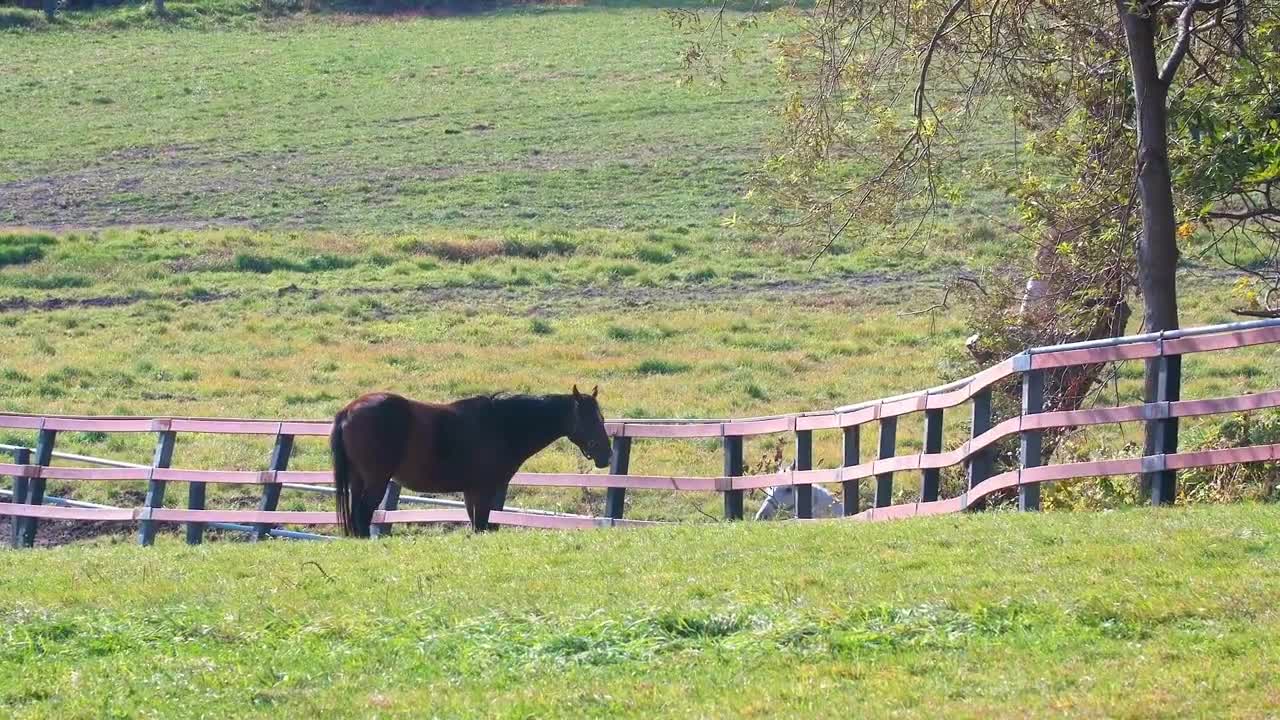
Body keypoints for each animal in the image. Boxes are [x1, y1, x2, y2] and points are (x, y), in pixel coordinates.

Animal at [330, 386, 609, 532]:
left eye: (601, 418)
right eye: (589, 419)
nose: (607, 454)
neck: (500, 425)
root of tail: (349, 410)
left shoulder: (472, 492)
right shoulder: (483, 490)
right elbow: (481, 524)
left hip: (358, 480)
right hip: (376, 480)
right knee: (362, 514)